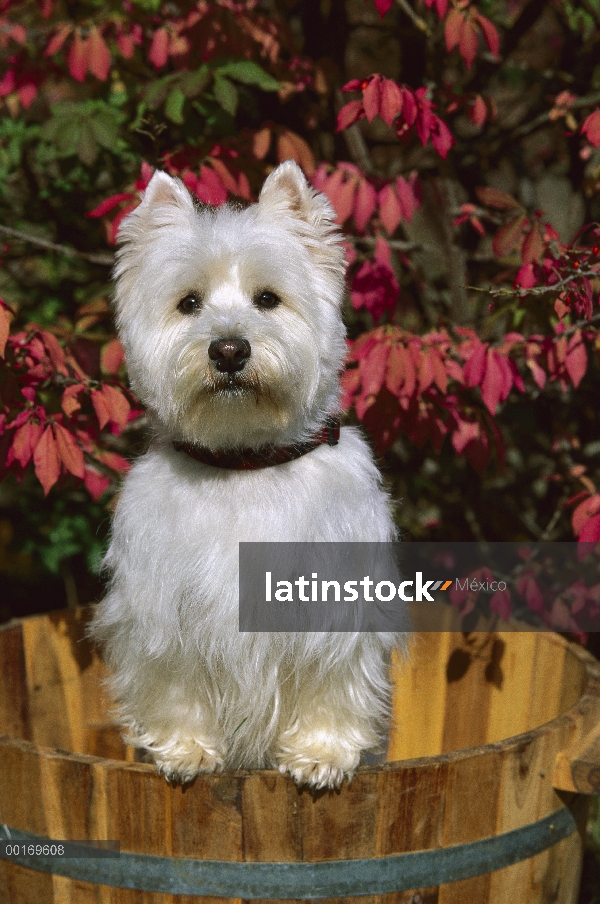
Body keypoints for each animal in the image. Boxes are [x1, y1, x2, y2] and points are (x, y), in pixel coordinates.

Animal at [91, 159, 406, 788]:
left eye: (268, 298)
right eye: (189, 303)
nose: (230, 350)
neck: (244, 463)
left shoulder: (334, 601)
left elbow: (331, 679)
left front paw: (320, 754)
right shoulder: (164, 610)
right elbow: (176, 685)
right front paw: (186, 751)